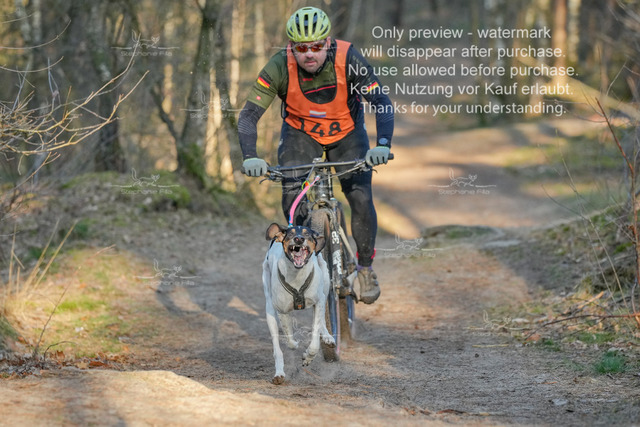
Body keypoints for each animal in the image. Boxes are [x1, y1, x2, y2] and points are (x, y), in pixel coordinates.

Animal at [262, 223, 336, 385]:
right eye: (291, 234)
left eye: (307, 234)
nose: (299, 239)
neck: (297, 276)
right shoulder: (282, 310)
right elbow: (289, 338)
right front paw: (295, 344)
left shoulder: (318, 301)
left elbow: (314, 341)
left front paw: (308, 356)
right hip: (269, 306)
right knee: (277, 347)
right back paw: (279, 373)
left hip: (325, 279)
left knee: (322, 317)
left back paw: (327, 336)